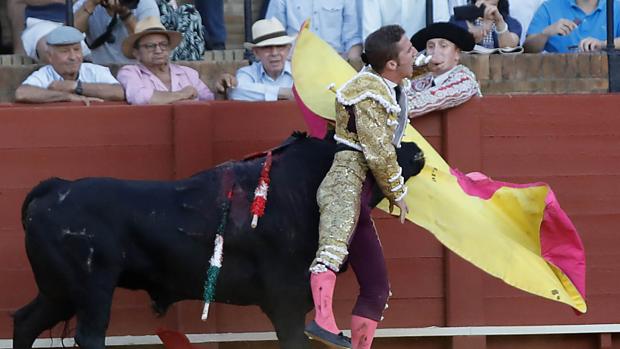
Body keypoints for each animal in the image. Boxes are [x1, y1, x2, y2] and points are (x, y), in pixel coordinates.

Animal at [12, 132, 424, 346]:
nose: (417, 151)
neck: (304, 188)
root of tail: (55, 188)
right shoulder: (287, 304)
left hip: (59, 291)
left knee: (24, 321)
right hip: (91, 288)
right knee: (89, 335)